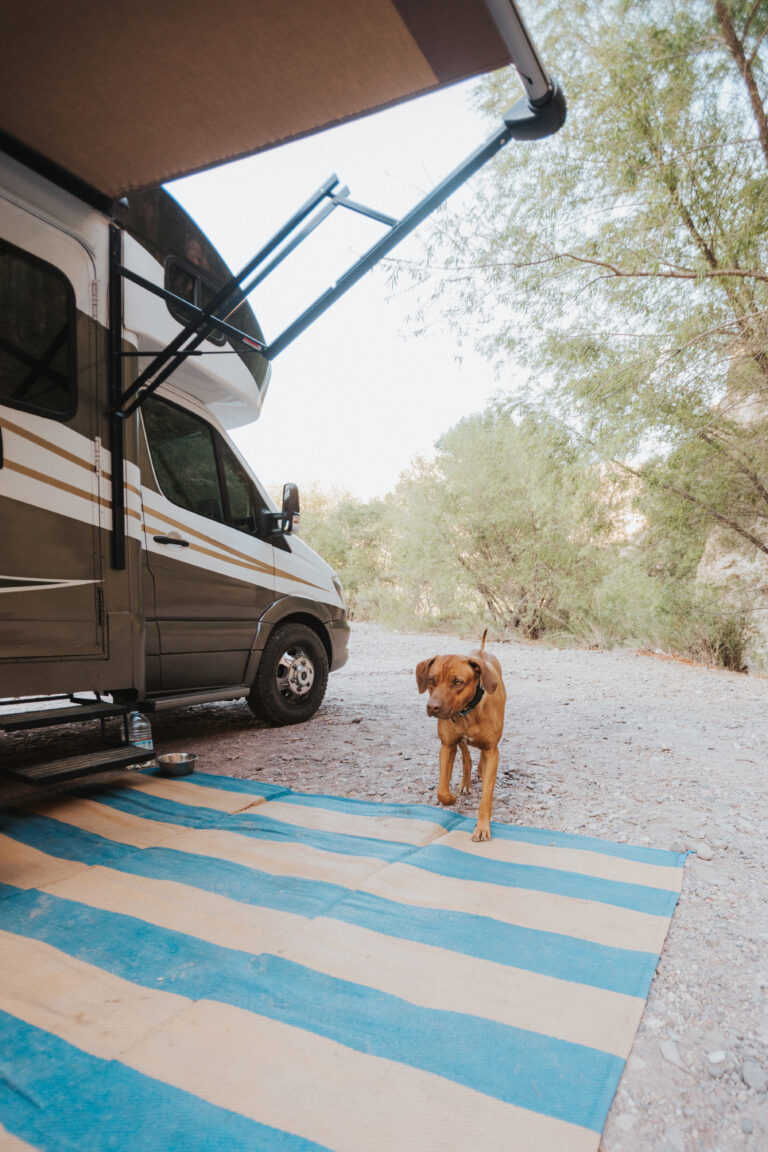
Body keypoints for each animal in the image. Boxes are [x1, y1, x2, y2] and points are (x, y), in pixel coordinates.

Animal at [416, 635, 506, 843]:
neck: (468, 711)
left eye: (458, 682)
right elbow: (441, 791)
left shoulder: (492, 750)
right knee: (467, 757)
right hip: (459, 742)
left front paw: (482, 828)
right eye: (431, 680)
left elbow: (486, 796)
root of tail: (481, 650)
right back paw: (466, 783)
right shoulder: (447, 746)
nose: (432, 707)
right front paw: (451, 799)